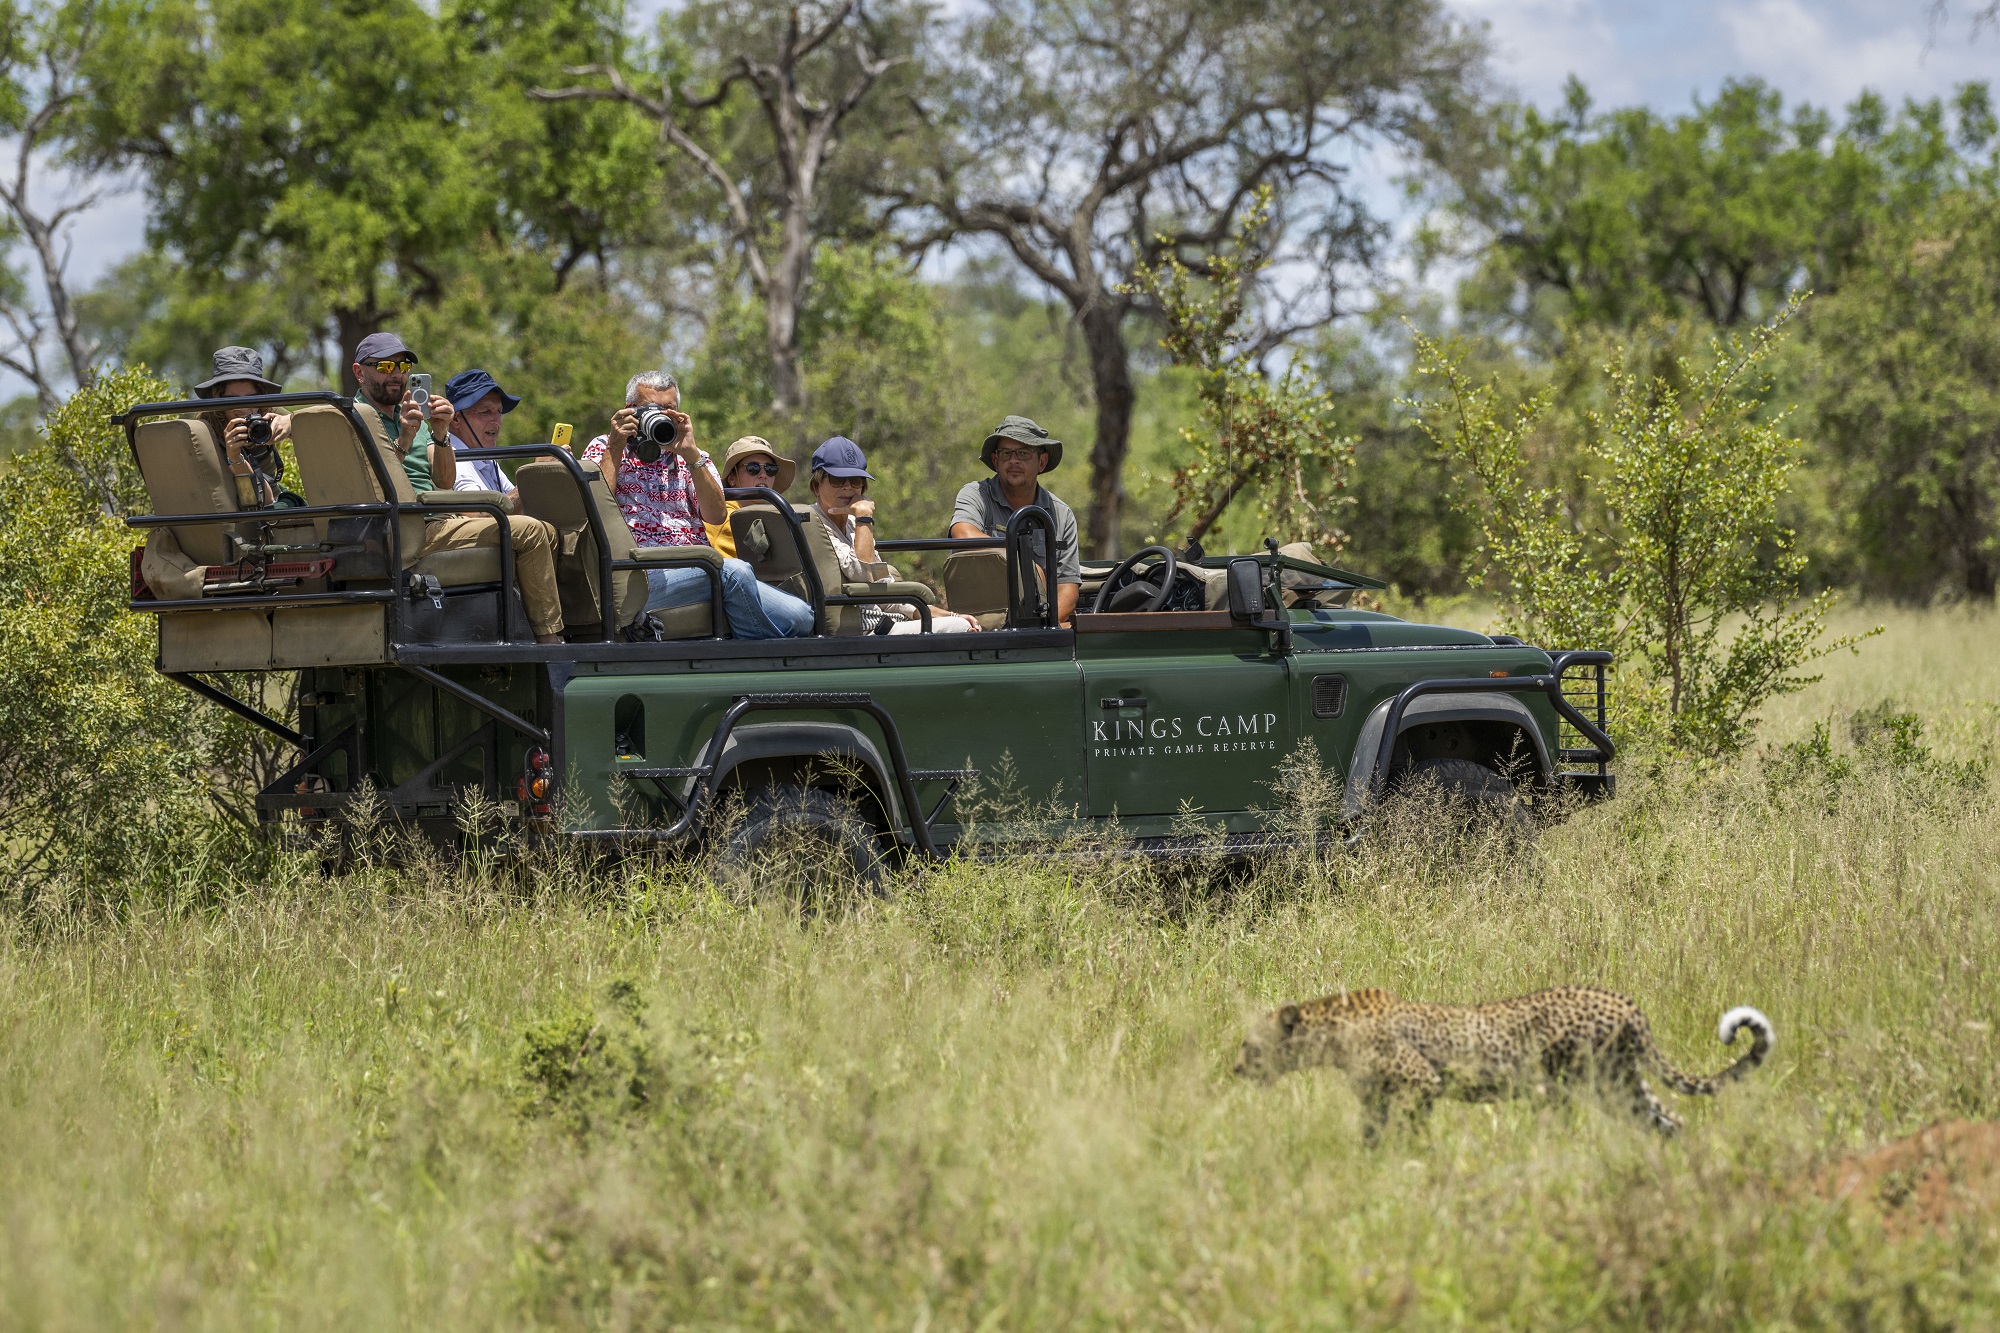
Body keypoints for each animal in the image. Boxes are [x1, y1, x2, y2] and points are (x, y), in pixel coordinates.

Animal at [1232, 980, 1784, 1136]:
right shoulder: (1376, 1097)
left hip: (1568, 1083)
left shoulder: (1423, 1082)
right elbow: (1369, 1135)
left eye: (1250, 1045)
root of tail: (1624, 1001)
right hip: (1619, 1083)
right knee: (1669, 1120)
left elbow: (1409, 1129)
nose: (1235, 1068)